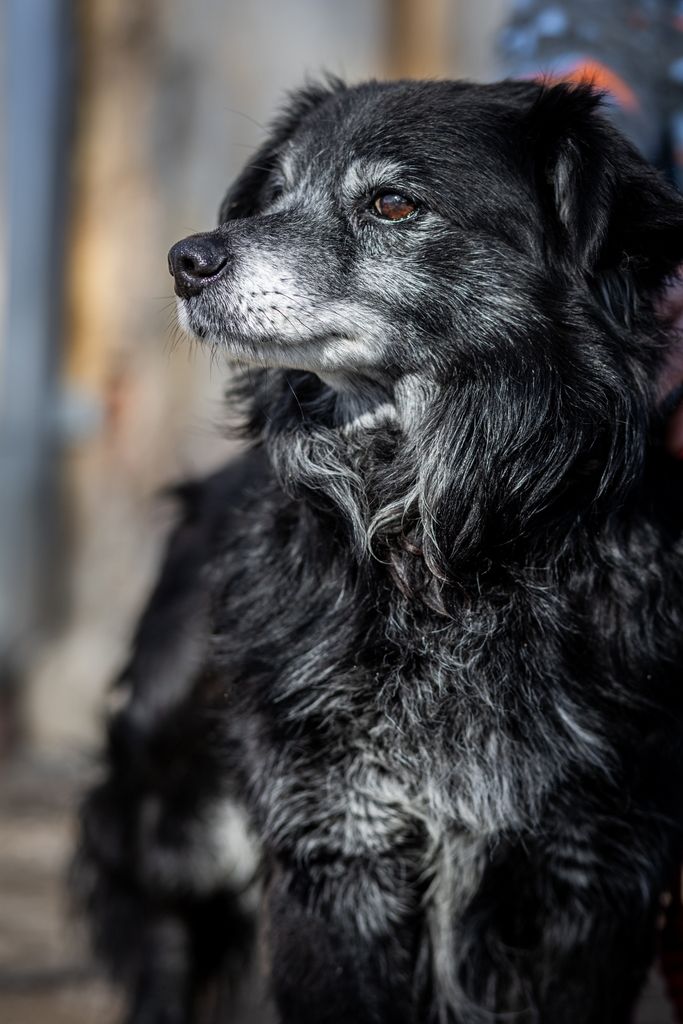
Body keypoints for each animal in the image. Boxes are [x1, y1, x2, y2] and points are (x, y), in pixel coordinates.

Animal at [75, 77, 683, 1023]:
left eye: (393, 205)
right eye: (275, 194)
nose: (186, 260)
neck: (441, 551)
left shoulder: (594, 875)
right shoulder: (339, 851)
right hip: (174, 829)